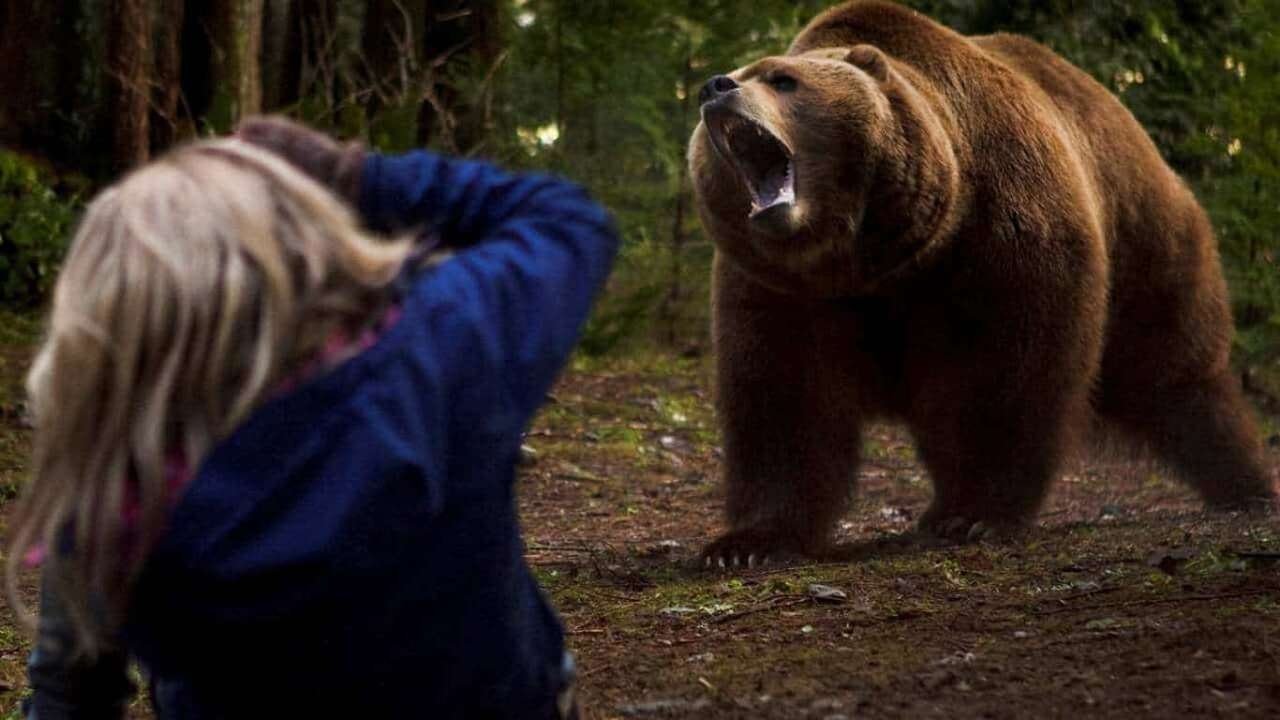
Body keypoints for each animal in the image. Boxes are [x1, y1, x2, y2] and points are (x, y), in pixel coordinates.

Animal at [687, 0, 1276, 567]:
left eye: (783, 79)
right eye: (742, 71)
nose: (715, 87)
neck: (870, 257)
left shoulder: (997, 235)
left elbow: (1002, 374)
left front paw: (973, 515)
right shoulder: (781, 289)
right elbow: (783, 399)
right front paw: (746, 543)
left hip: (1146, 240)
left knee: (1177, 374)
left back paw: (1245, 485)